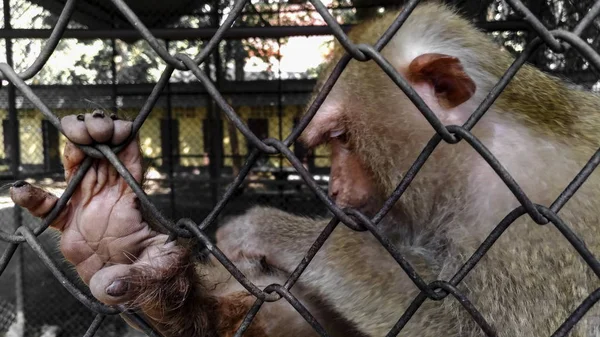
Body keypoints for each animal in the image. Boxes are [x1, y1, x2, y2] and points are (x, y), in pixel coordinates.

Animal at [7, 2, 600, 336]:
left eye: (338, 139)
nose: (335, 185)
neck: (480, 155)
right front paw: (111, 238)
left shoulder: (531, 229)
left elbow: (461, 325)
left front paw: (280, 232)